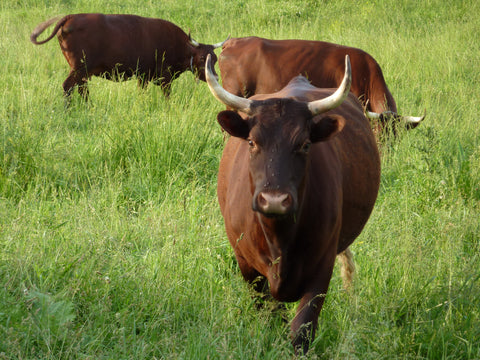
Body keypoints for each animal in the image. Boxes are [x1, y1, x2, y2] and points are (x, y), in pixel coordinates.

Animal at [31, 13, 228, 100]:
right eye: (202, 59)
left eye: (215, 59)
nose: (215, 77)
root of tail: (71, 16)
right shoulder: (165, 78)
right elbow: (166, 96)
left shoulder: (144, 76)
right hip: (80, 68)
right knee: (68, 86)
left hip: (83, 72)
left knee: (81, 88)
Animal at [204, 54, 380, 356]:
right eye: (251, 142)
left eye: (305, 144)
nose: (274, 200)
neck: (279, 239)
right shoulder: (247, 267)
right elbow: (270, 317)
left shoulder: (321, 267)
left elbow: (302, 330)